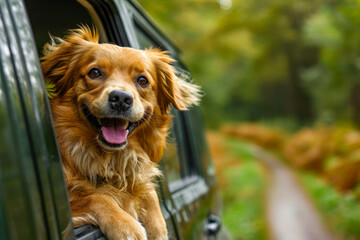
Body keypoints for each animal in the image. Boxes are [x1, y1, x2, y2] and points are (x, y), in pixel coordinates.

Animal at [41, 26, 201, 240]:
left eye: (142, 80)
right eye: (95, 72)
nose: (121, 98)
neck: (110, 160)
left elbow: (149, 193)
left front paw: (159, 227)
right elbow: (97, 198)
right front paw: (126, 226)